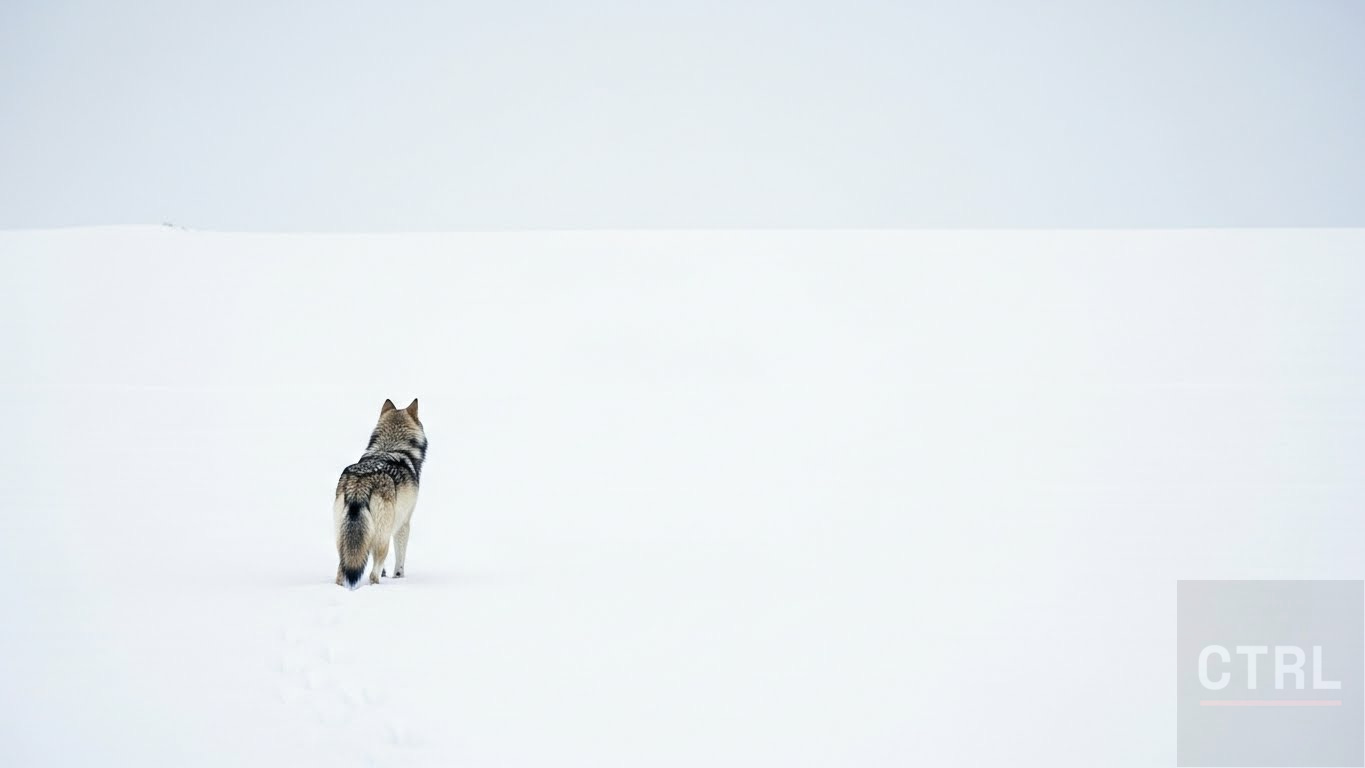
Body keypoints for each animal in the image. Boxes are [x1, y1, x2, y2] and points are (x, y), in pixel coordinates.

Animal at [335, 398, 427, 588]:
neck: (391, 447)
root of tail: (359, 484)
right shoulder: (403, 524)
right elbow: (400, 559)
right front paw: (399, 577)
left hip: (343, 540)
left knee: (341, 571)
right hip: (383, 537)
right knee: (373, 574)